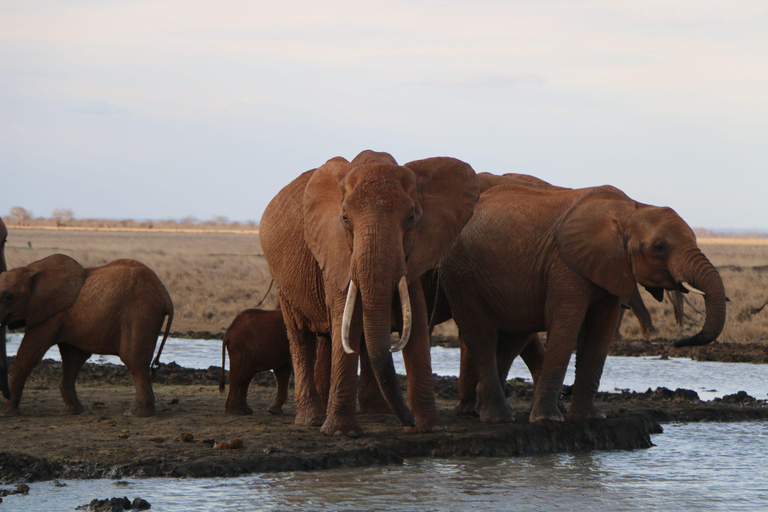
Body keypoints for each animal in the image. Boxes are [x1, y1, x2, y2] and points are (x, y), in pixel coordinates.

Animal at [0, 254, 174, 418]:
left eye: (7, 298)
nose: (6, 396)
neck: (31, 269)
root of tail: (164, 294)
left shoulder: (50, 314)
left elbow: (29, 353)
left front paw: (7, 413)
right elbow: (73, 358)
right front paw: (72, 412)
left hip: (139, 312)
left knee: (133, 359)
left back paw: (135, 414)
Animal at [264, 149, 480, 436]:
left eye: (411, 218)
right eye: (345, 219)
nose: (408, 423)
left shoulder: (415, 253)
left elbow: (417, 321)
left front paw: (430, 428)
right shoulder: (336, 249)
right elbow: (350, 321)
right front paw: (342, 433)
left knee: (328, 338)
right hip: (283, 282)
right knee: (301, 338)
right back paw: (311, 420)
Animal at [438, 180, 728, 424]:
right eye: (659, 247)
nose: (677, 342)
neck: (629, 211)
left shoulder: (609, 265)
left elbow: (601, 333)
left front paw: (589, 417)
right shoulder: (565, 265)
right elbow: (566, 325)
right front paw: (547, 420)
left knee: (510, 336)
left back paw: (488, 413)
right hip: (462, 273)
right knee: (481, 335)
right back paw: (498, 418)